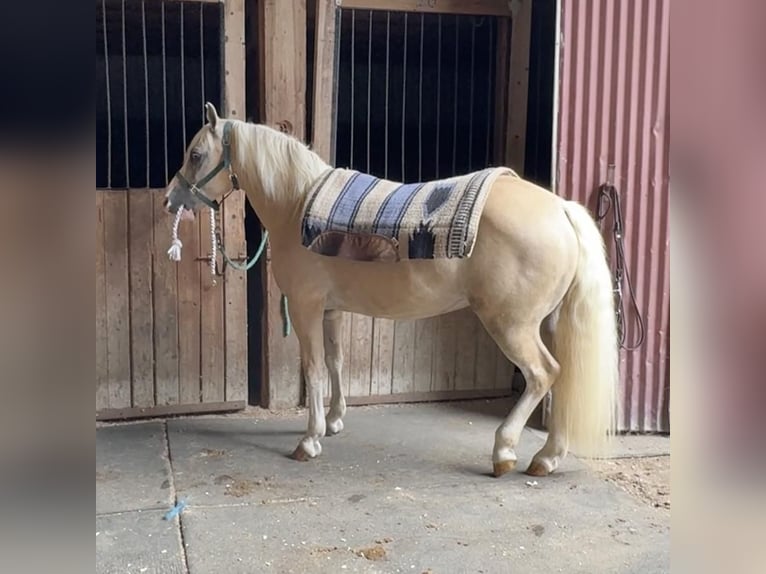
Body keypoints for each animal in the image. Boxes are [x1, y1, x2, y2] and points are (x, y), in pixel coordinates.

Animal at [165, 104, 620, 482]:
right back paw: (547, 457)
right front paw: (334, 421)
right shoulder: (331, 311)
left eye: (197, 154)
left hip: (513, 326)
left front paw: (309, 440)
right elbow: (335, 363)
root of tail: (560, 208)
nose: (171, 200)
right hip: (546, 324)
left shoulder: (306, 307)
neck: (297, 205)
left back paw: (505, 451)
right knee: (562, 376)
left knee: (544, 374)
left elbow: (313, 369)